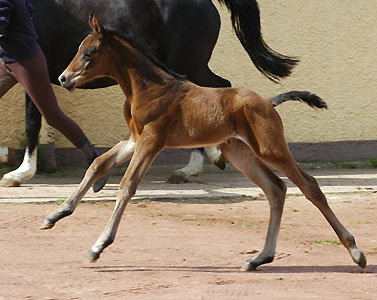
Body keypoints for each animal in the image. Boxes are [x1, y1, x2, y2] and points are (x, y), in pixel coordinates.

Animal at [39, 15, 366, 270]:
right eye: (79, 49)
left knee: (308, 185)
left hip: (270, 148)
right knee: (276, 188)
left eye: (90, 52)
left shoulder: (152, 140)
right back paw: (259, 258)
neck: (149, 88)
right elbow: (97, 164)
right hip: (240, 151)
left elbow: (127, 186)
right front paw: (55, 215)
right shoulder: (134, 138)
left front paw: (98, 246)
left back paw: (355, 251)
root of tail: (269, 102)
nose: (64, 78)